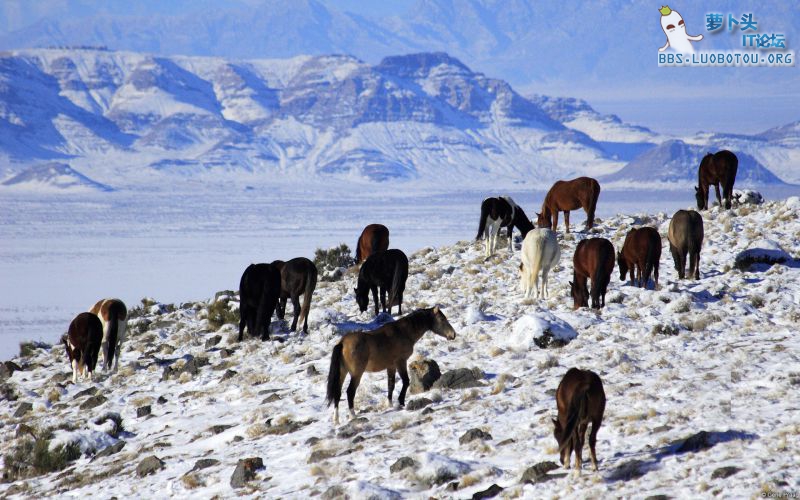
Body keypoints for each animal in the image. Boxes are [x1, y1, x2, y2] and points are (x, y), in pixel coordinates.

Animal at [324, 306, 456, 424]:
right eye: (442, 319)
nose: (453, 334)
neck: (403, 332)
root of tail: (342, 343)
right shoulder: (401, 362)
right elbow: (405, 381)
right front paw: (401, 401)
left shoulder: (391, 366)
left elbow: (390, 385)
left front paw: (390, 405)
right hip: (356, 374)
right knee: (350, 392)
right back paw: (353, 416)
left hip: (342, 372)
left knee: (337, 393)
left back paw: (336, 420)